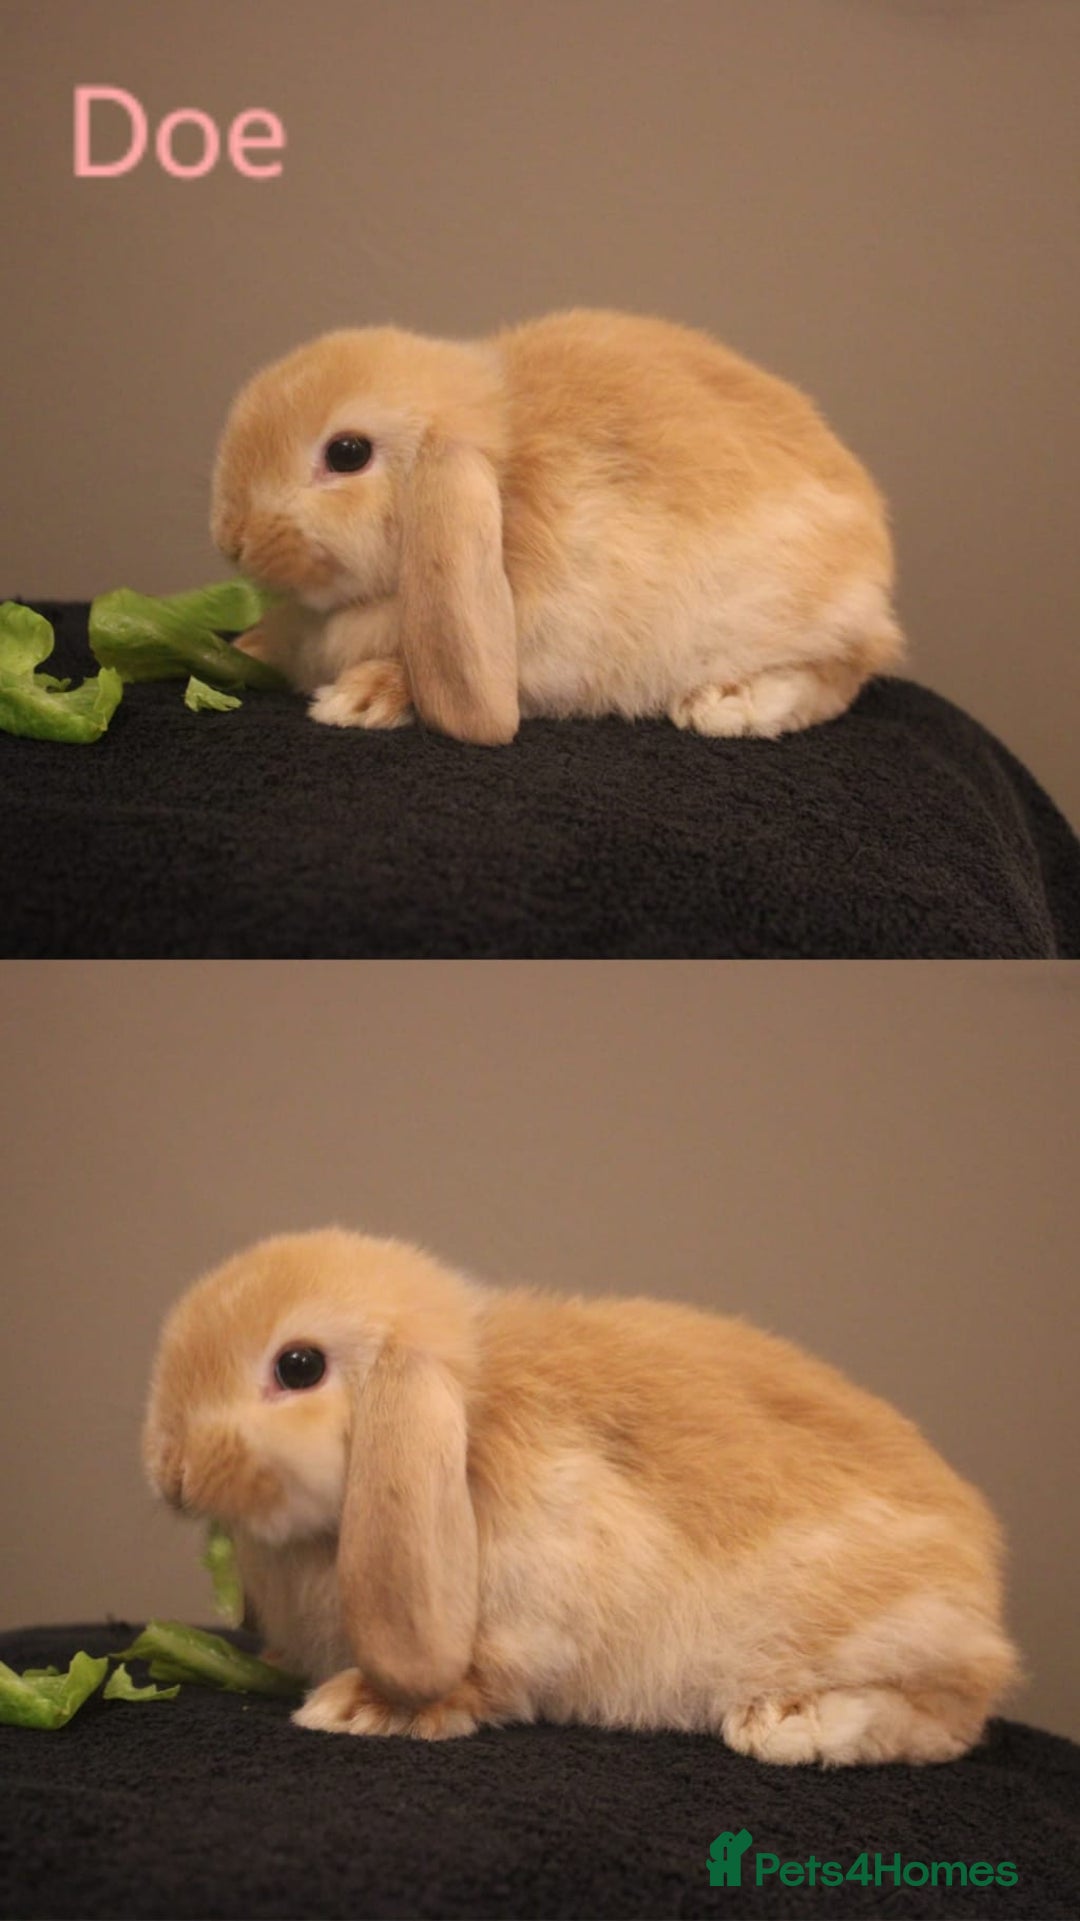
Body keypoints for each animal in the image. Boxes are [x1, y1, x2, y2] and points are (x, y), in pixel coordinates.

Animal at [143, 1229, 1018, 1765]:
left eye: (298, 1365)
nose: (168, 1469)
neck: (469, 1419)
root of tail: (983, 1586)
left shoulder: (534, 1612)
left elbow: (485, 1673)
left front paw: (357, 1706)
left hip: (895, 1634)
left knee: (951, 1716)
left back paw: (787, 1724)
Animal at [210, 309, 905, 746]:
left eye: (347, 453)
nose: (230, 537)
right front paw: (250, 648)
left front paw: (358, 700)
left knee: (844, 672)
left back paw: (726, 705)